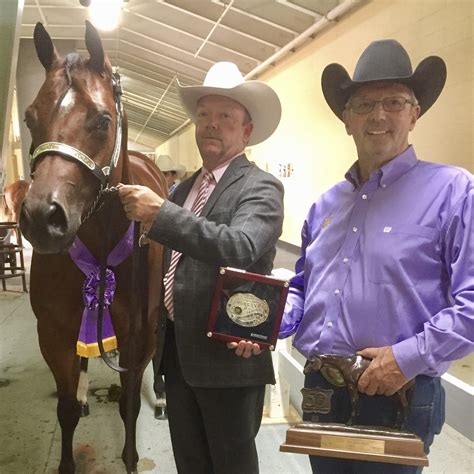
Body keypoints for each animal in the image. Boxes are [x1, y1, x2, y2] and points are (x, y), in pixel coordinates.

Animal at [18, 22, 167, 474]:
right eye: (30, 117)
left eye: (102, 121)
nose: (41, 218)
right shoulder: (53, 332)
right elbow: (66, 409)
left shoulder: (139, 336)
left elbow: (130, 404)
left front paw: (131, 458)